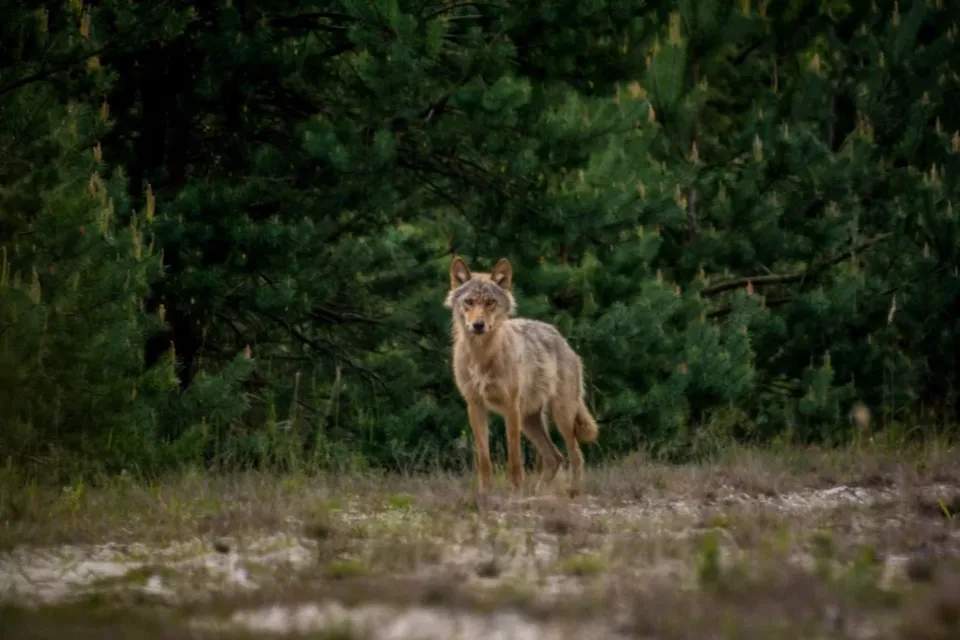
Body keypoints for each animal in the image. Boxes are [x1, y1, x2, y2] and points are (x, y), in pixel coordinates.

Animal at [444, 255, 596, 496]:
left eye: (490, 302)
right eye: (469, 302)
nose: (478, 325)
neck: (482, 356)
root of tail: (561, 338)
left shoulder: (511, 407)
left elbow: (514, 457)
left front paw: (515, 492)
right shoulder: (475, 406)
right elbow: (484, 459)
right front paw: (485, 493)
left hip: (561, 415)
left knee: (575, 455)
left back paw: (573, 492)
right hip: (530, 421)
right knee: (554, 457)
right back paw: (537, 493)